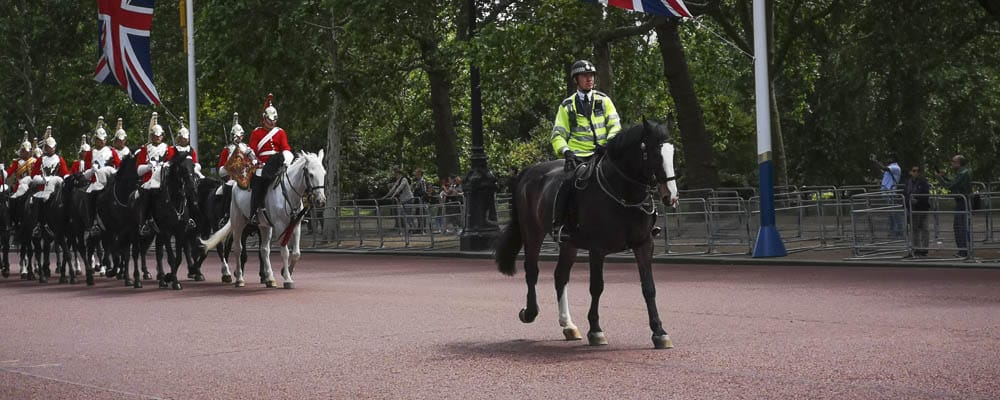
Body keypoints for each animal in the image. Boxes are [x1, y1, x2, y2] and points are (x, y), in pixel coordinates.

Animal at [201, 150, 326, 288]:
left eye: (324, 173)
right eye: (311, 175)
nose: (321, 201)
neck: (287, 193)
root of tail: (235, 186)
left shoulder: (295, 224)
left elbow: (296, 253)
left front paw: (286, 271)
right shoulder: (280, 225)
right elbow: (285, 252)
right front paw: (287, 278)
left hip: (264, 226)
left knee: (264, 250)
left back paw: (270, 278)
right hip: (238, 223)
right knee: (237, 248)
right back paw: (238, 278)